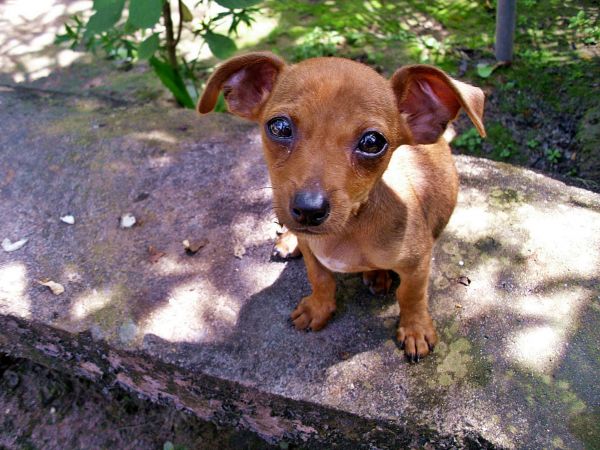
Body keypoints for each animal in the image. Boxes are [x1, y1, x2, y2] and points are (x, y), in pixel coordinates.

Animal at [199, 51, 486, 362]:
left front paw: (415, 330)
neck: (348, 229)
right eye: (280, 127)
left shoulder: (417, 263)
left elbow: (412, 296)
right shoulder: (313, 252)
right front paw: (318, 308)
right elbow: (320, 278)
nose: (308, 209)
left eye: (372, 142)